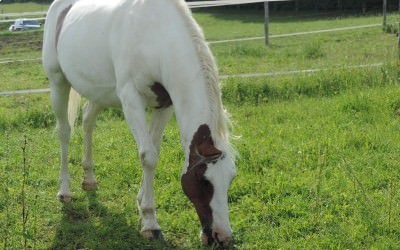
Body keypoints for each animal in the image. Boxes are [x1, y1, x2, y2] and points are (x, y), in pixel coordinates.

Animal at [43, 0, 238, 247]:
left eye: (231, 178)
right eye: (202, 180)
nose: (222, 237)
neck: (155, 36)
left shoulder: (164, 104)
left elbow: (154, 151)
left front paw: (141, 199)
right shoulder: (131, 98)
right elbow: (148, 156)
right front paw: (150, 223)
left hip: (98, 92)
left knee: (88, 122)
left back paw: (89, 179)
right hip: (58, 82)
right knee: (65, 132)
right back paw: (65, 191)